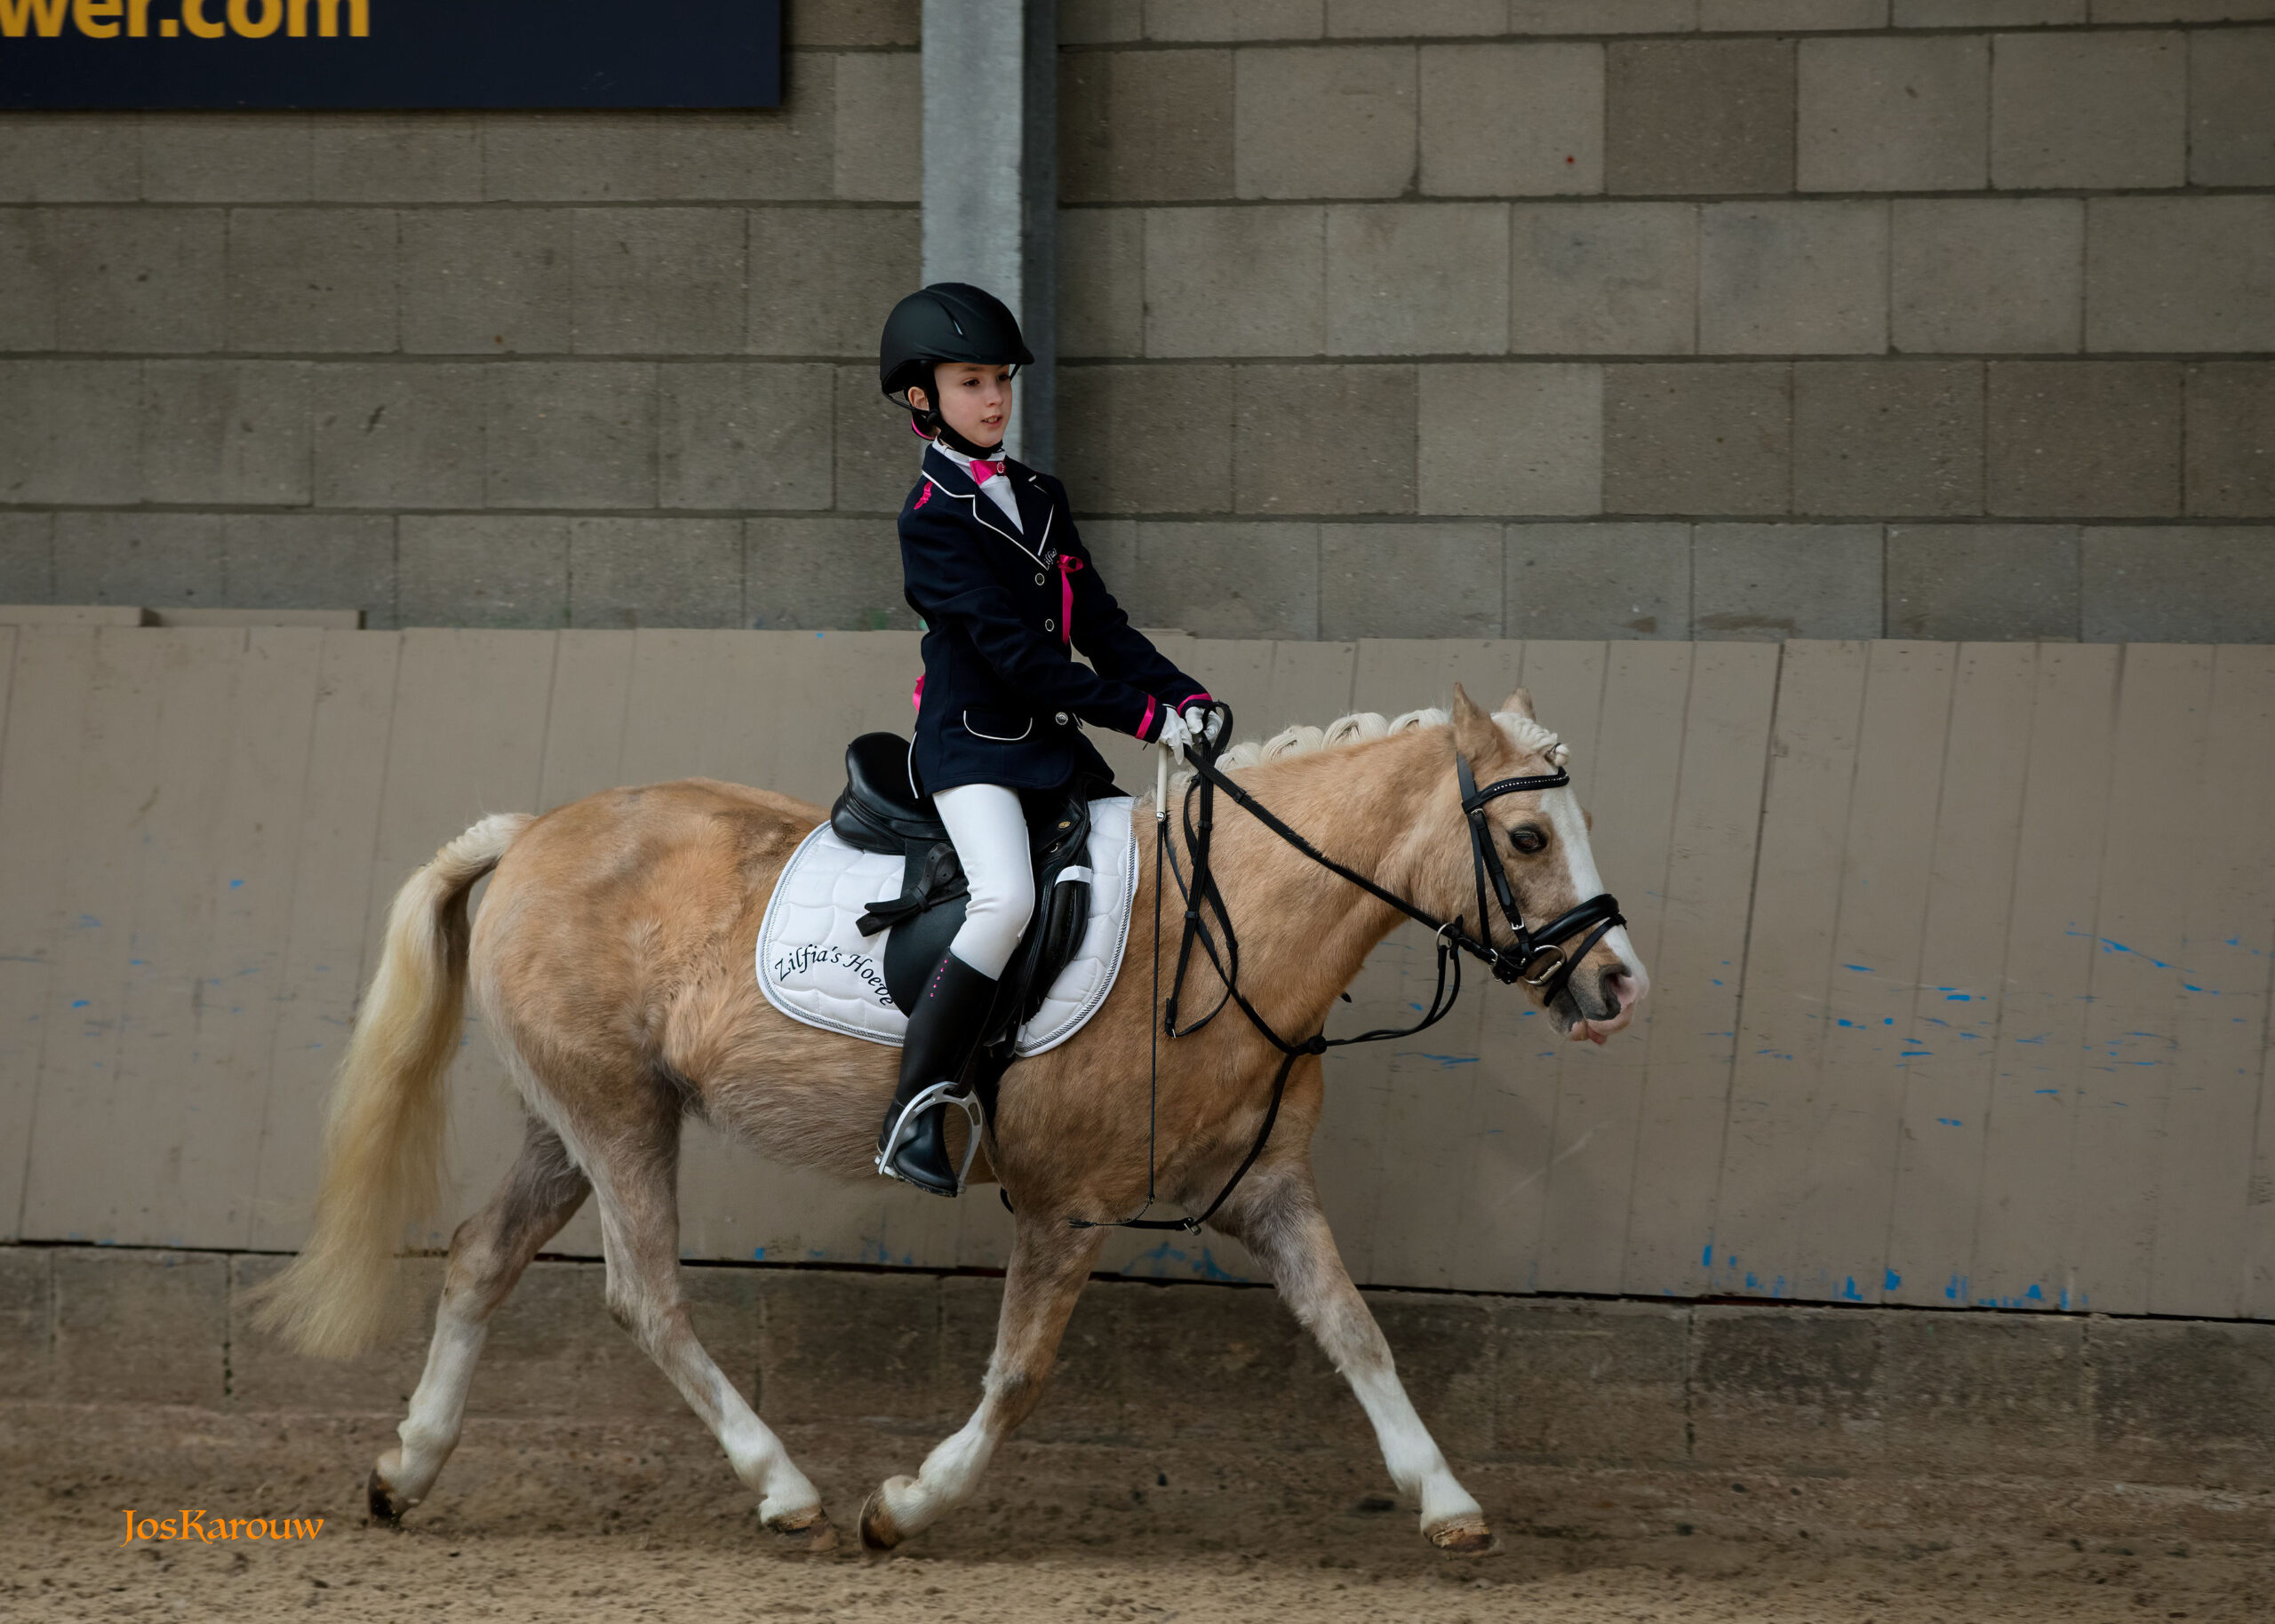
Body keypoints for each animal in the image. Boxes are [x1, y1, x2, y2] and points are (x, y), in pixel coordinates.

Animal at [258, 677, 1656, 1546]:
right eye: (1528, 838)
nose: (1617, 986)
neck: (1224, 933)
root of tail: (536, 829)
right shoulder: (1068, 1205)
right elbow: (1021, 1375)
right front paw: (908, 1505)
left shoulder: (1269, 1192)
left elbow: (1358, 1336)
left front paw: (1445, 1499)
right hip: (617, 1120)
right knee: (644, 1296)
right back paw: (786, 1490)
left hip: (572, 1123)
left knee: (480, 1260)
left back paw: (406, 1468)